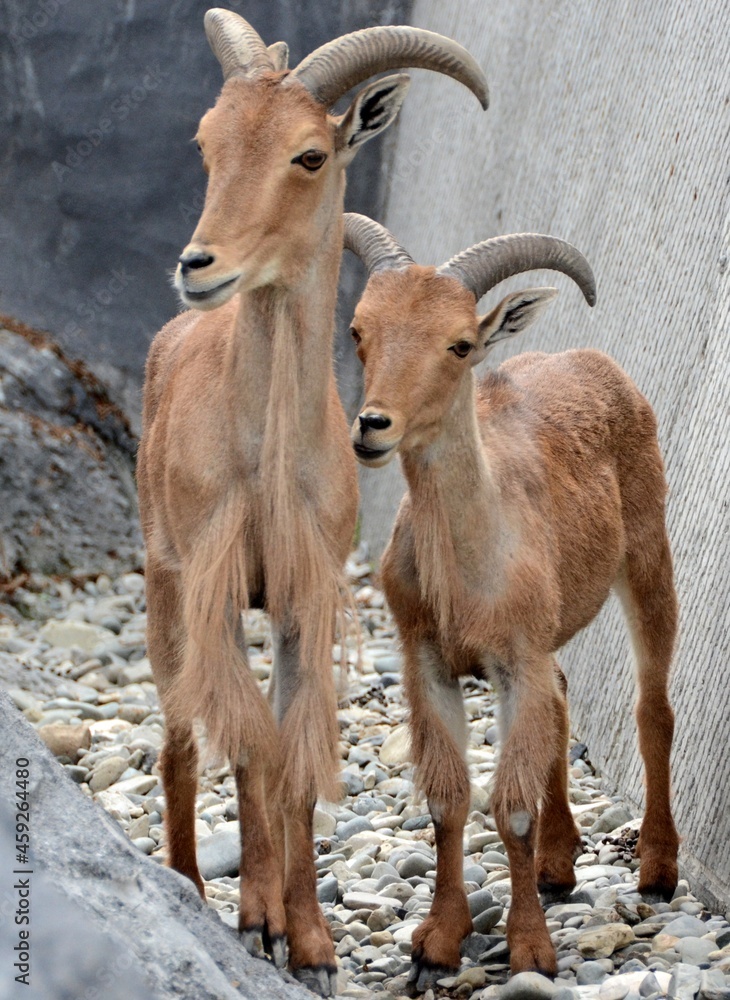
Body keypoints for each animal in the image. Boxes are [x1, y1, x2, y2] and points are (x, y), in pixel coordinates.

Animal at [136, 10, 488, 995]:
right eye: (208, 143)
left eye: (308, 155)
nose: (198, 264)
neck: (266, 464)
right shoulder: (215, 580)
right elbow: (250, 742)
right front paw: (260, 921)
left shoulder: (304, 595)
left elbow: (291, 757)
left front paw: (312, 939)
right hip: (163, 581)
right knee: (182, 736)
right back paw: (191, 883)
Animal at [344, 213, 679, 990]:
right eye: (359, 331)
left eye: (460, 343)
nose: (373, 426)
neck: (467, 574)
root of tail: (593, 360)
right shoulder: (427, 659)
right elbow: (448, 799)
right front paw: (437, 939)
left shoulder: (513, 658)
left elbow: (512, 808)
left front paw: (530, 950)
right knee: (560, 696)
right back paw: (559, 862)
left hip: (647, 553)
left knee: (653, 707)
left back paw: (657, 868)